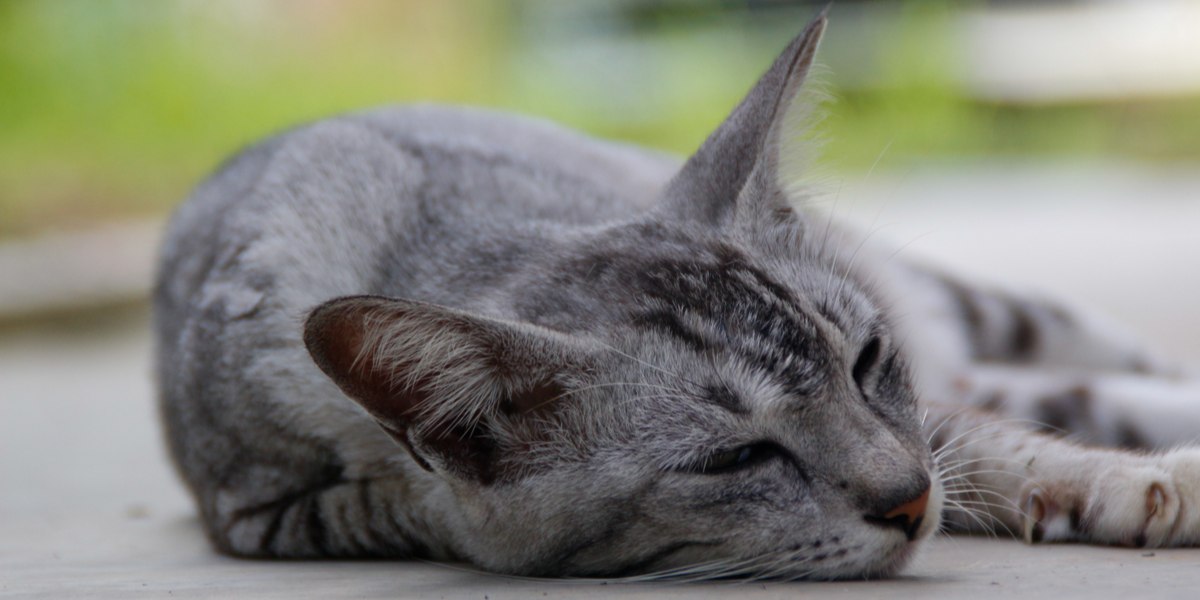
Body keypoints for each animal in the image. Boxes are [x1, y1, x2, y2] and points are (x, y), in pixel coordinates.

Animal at [154, 10, 1200, 580]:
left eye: (867, 361)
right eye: (737, 457)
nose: (908, 500)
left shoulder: (928, 412)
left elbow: (991, 444)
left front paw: (1139, 483)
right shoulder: (273, 509)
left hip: (997, 310)